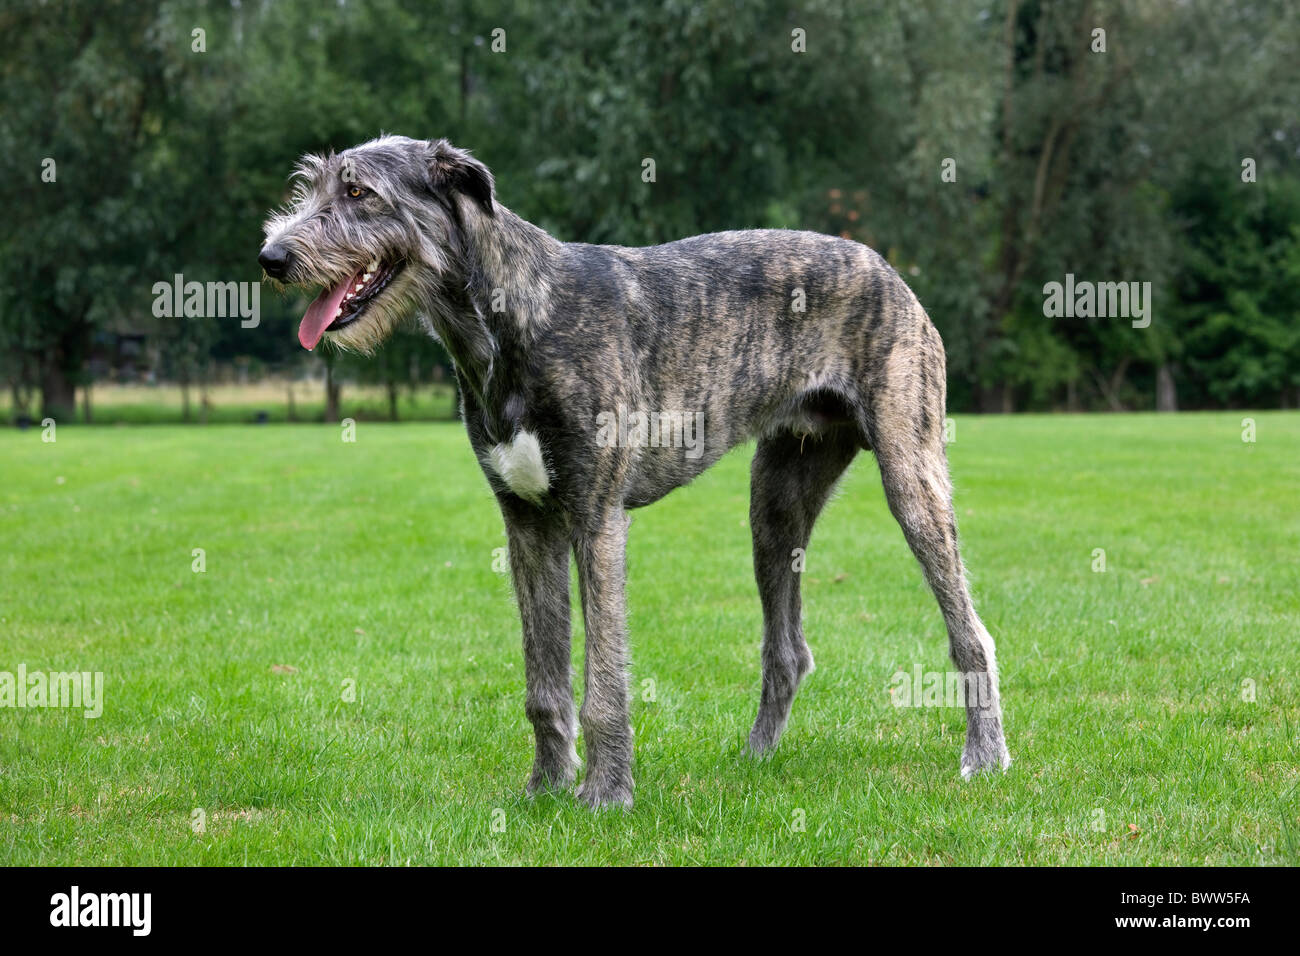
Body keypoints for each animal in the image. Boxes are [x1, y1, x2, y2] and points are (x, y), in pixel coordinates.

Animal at [258, 134, 1008, 806]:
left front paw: (605, 793)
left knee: (970, 631)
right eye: (311, 185)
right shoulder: (526, 524)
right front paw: (545, 788)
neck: (514, 318)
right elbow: (544, 679)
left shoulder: (596, 518)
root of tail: (885, 266)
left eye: (360, 193)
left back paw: (985, 755)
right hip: (776, 501)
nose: (272, 256)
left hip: (911, 475)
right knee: (787, 649)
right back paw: (755, 758)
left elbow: (604, 680)